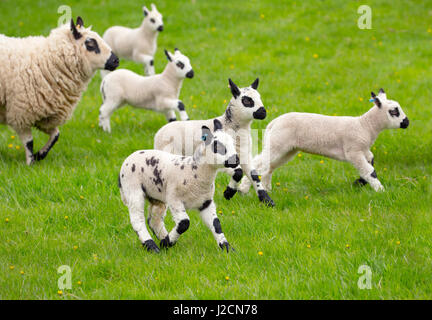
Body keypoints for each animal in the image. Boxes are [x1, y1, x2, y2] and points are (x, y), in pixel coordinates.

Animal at [0, 16, 119, 165]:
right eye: (90, 44)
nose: (116, 61)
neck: (46, 62)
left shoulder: (45, 116)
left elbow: (56, 135)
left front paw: (40, 155)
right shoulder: (20, 113)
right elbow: (29, 142)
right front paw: (30, 163)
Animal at [118, 119, 240, 254]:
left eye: (233, 144)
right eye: (218, 147)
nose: (236, 159)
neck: (194, 171)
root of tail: (128, 158)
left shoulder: (206, 202)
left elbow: (216, 224)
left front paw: (227, 247)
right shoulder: (174, 199)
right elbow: (184, 223)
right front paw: (167, 242)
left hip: (156, 196)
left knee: (154, 220)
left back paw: (163, 240)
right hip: (133, 189)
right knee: (137, 219)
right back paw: (152, 246)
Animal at [238, 89, 410, 192]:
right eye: (394, 111)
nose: (406, 122)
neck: (365, 126)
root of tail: (272, 123)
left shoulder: (363, 150)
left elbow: (371, 162)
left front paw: (360, 182)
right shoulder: (353, 151)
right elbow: (369, 170)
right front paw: (380, 189)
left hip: (287, 149)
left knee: (270, 166)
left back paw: (266, 189)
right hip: (277, 144)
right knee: (259, 163)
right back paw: (243, 190)